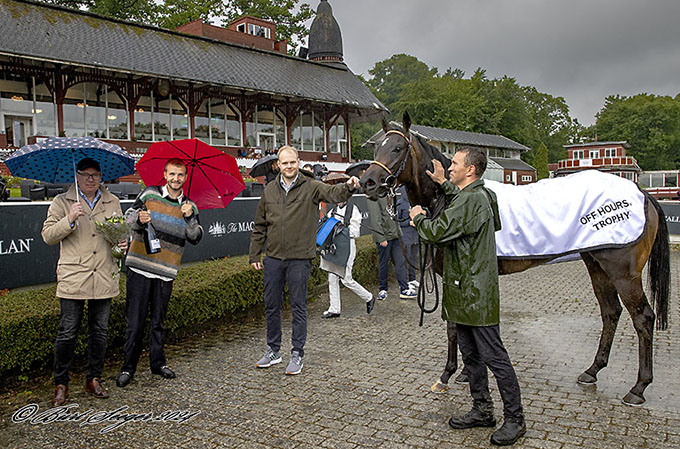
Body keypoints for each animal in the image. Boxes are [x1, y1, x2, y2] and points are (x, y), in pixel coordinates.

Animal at [358, 110, 672, 404]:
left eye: (398, 148)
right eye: (376, 149)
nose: (368, 182)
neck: (449, 199)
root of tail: (643, 194)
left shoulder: (454, 275)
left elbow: (454, 327)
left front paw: (448, 374)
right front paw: (464, 372)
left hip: (623, 273)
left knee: (643, 318)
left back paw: (638, 388)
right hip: (596, 265)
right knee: (610, 313)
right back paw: (592, 370)